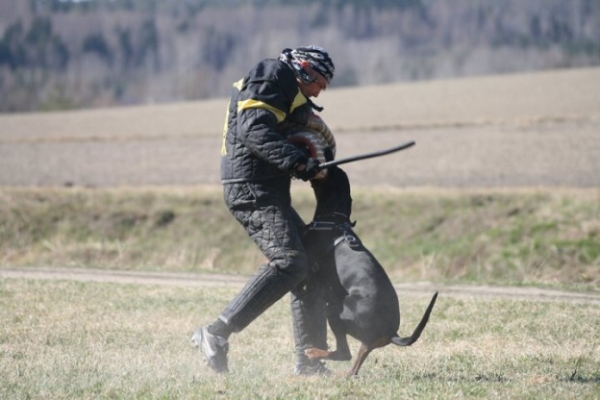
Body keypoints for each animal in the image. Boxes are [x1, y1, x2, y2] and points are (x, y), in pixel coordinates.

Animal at [304, 166, 436, 378]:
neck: (335, 220)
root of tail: (390, 331)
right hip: (361, 334)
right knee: (358, 356)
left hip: (336, 308)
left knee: (344, 353)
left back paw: (315, 353)